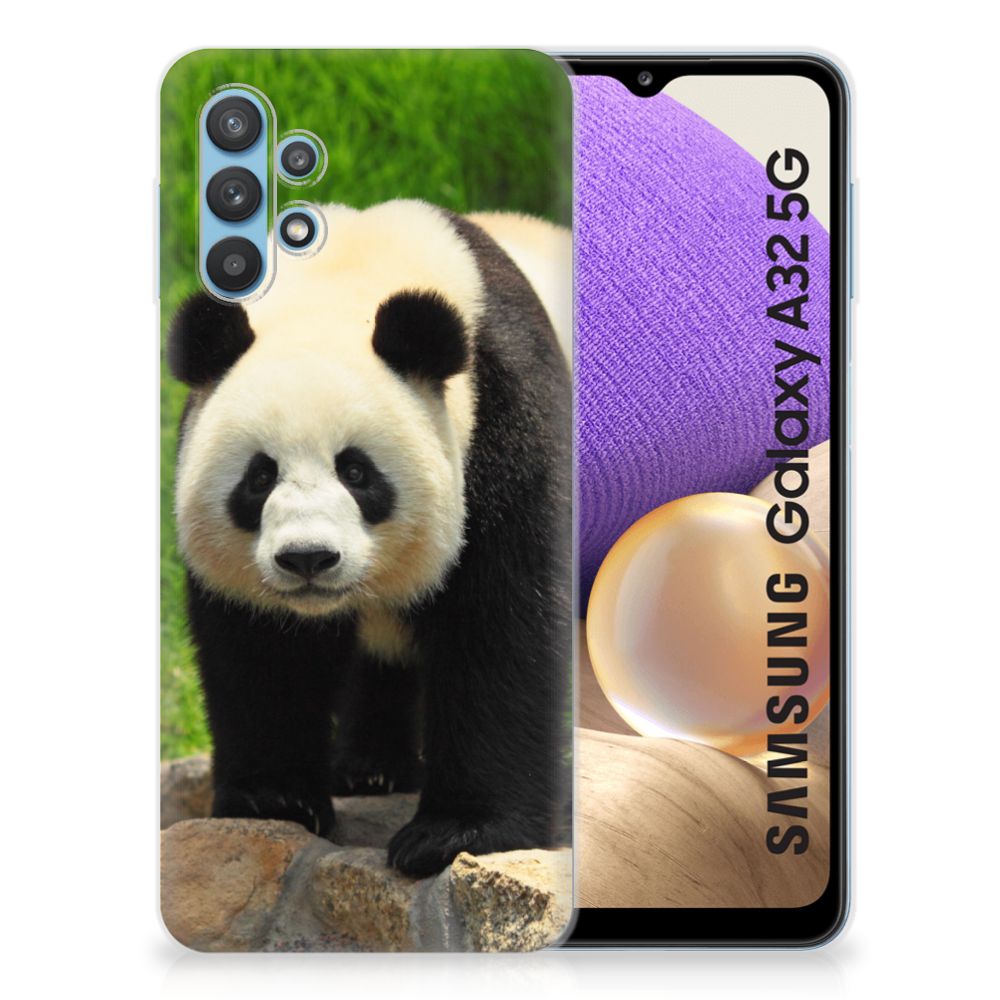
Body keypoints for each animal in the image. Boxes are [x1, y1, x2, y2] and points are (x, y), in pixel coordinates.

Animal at [168, 199, 572, 878]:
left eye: (356, 472)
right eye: (259, 476)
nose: (308, 558)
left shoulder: (507, 420)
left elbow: (503, 623)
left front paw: (455, 833)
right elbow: (260, 649)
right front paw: (274, 799)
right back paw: (370, 768)